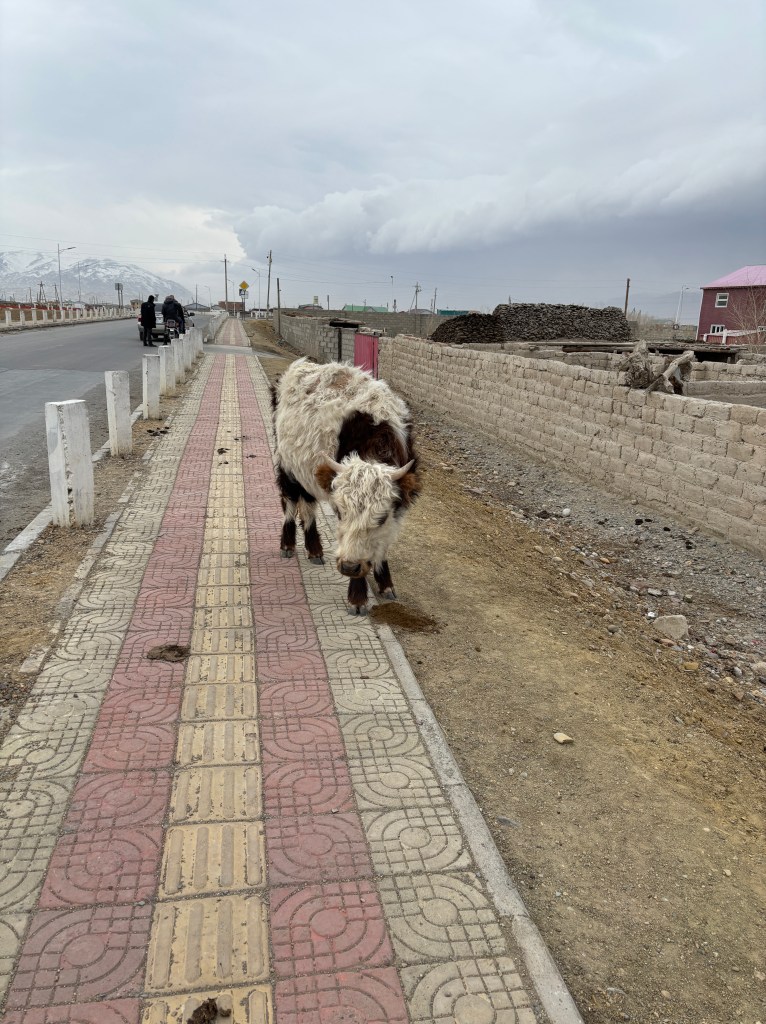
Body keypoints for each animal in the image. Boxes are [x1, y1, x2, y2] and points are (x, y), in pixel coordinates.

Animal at [273, 358, 421, 614]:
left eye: (381, 518)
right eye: (340, 513)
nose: (349, 567)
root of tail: (302, 365)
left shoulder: (398, 509)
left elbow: (382, 542)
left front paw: (386, 585)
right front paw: (358, 598)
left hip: (308, 473)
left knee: (308, 505)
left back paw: (314, 550)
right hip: (288, 467)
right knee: (290, 502)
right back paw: (288, 545)